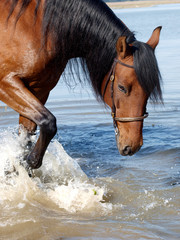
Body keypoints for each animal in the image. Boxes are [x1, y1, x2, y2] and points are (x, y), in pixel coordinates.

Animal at [0, 0, 162, 170]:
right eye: (122, 87)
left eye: (149, 90)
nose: (133, 146)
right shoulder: (7, 83)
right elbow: (48, 123)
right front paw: (29, 162)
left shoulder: (39, 90)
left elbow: (26, 139)